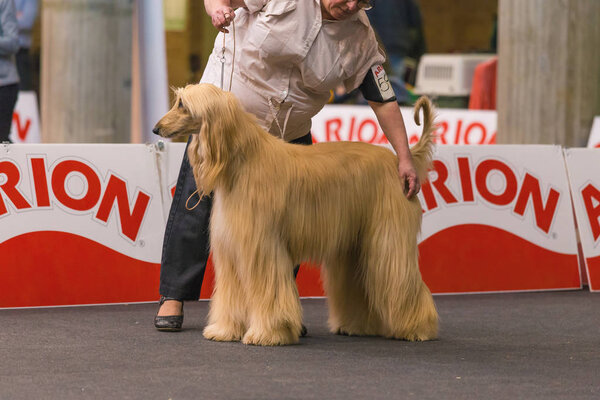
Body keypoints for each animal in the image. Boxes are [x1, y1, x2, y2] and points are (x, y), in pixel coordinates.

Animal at [152, 83, 438, 346]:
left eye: (183, 105)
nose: (156, 129)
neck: (243, 161)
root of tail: (400, 161)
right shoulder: (232, 249)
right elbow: (230, 295)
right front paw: (224, 330)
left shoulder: (261, 247)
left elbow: (269, 291)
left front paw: (268, 333)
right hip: (355, 244)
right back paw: (356, 326)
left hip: (387, 239)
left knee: (401, 279)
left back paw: (417, 327)